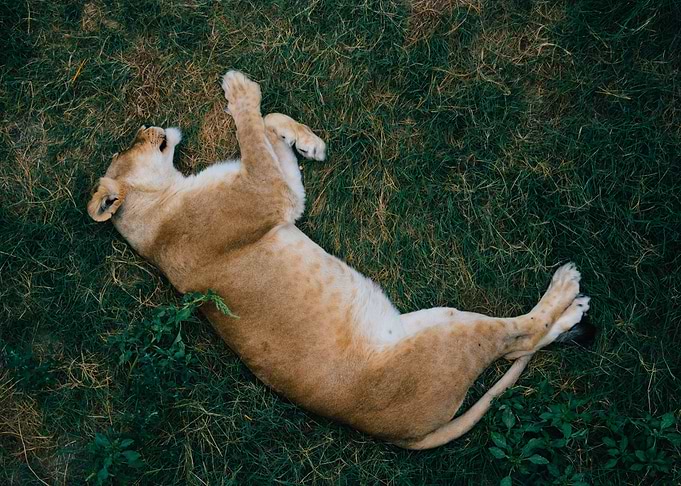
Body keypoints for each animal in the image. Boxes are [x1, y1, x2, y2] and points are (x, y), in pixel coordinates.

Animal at [87, 70, 592, 449]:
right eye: (133, 142)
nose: (152, 127)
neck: (160, 208)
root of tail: (392, 435)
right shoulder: (268, 197)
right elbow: (252, 129)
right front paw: (240, 89)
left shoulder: (283, 195)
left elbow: (267, 128)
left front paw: (306, 142)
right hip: (451, 335)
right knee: (518, 337)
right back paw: (569, 293)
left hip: (434, 319)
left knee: (522, 344)